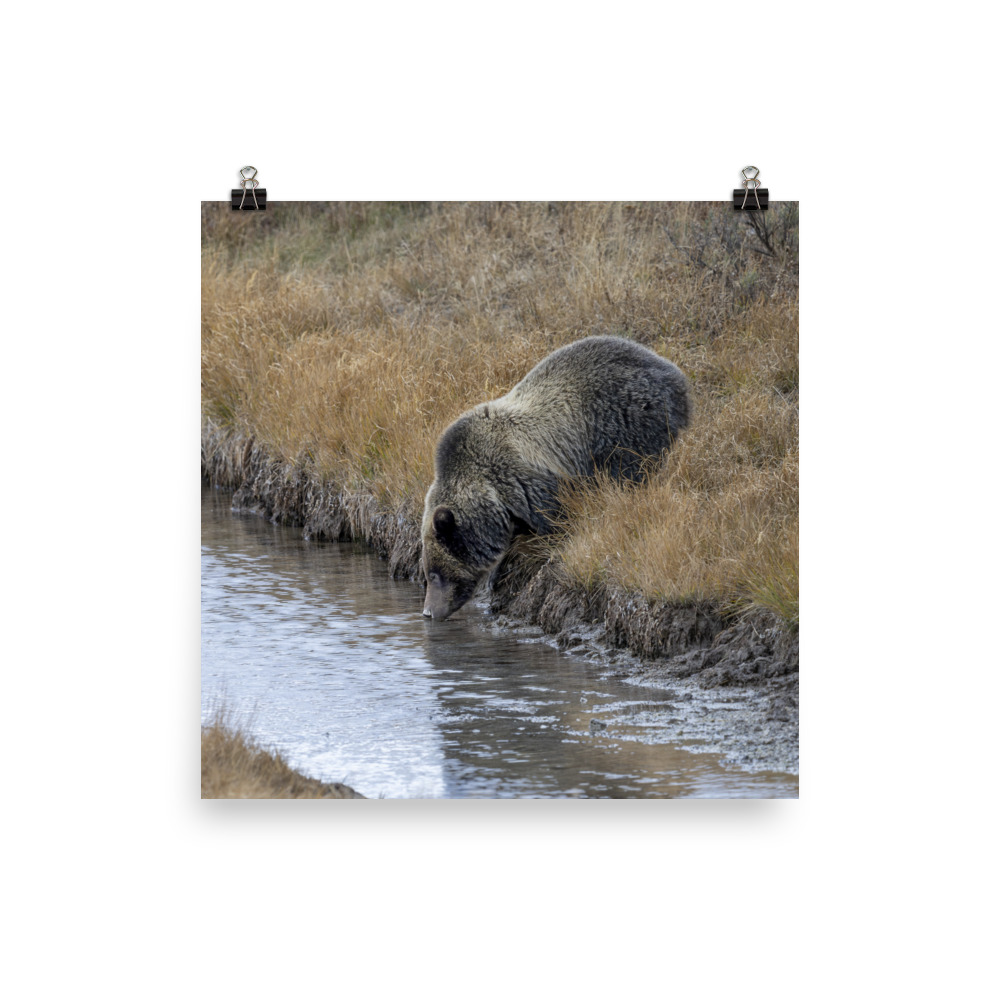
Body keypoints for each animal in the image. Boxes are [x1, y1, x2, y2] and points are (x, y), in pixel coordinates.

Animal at [420, 335, 691, 620]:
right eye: (427, 573)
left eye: (435, 574)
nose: (427, 612)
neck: (491, 494)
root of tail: (674, 372)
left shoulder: (528, 482)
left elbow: (555, 520)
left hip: (627, 420)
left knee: (630, 470)